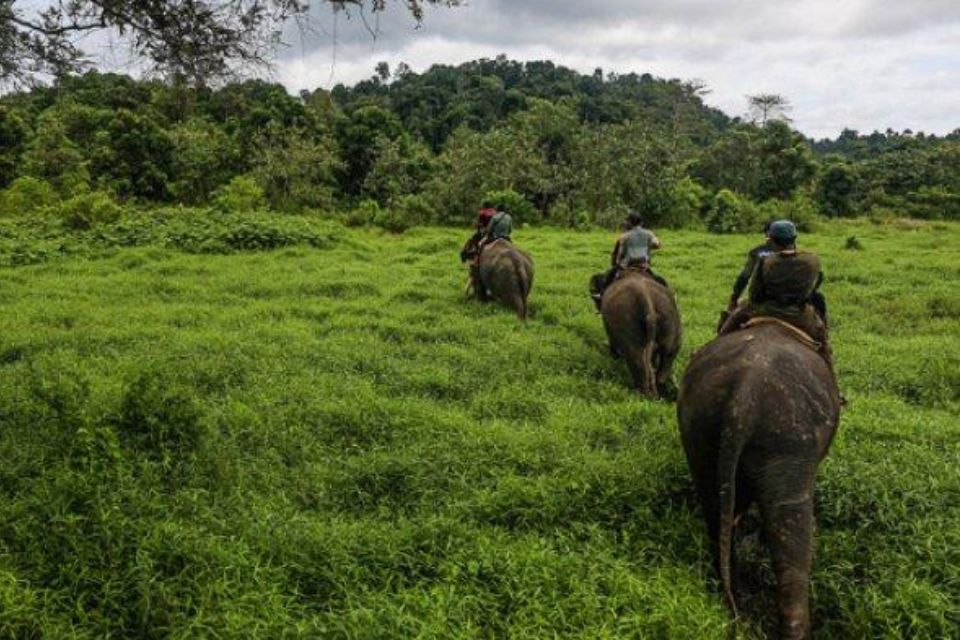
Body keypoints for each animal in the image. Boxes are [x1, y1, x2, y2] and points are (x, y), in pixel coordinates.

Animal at [600, 268, 684, 398]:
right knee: (667, 357)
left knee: (638, 360)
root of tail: (648, 303)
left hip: (628, 324)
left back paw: (642, 395)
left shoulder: (607, 322)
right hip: (672, 323)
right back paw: (658, 393)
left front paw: (614, 358)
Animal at [676, 324, 840, 640]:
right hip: (787, 439)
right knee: (791, 531)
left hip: (698, 429)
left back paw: (733, 602)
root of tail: (744, 395)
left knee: (716, 520)